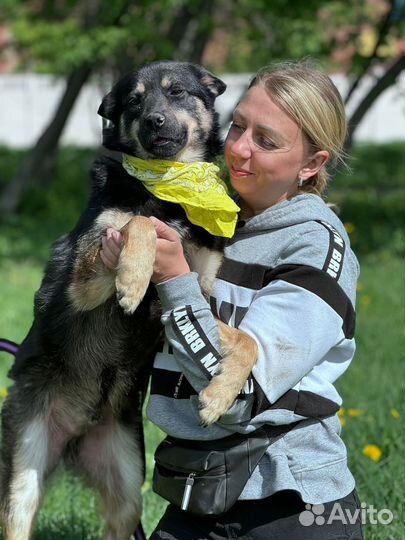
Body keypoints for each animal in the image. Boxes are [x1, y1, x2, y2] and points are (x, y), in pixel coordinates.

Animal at [0, 61, 258, 540]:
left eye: (176, 93)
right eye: (135, 101)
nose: (154, 120)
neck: (170, 194)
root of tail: (76, 432)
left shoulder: (197, 295)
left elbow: (245, 342)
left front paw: (218, 397)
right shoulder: (83, 283)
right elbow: (138, 224)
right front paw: (133, 281)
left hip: (124, 487)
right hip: (23, 472)